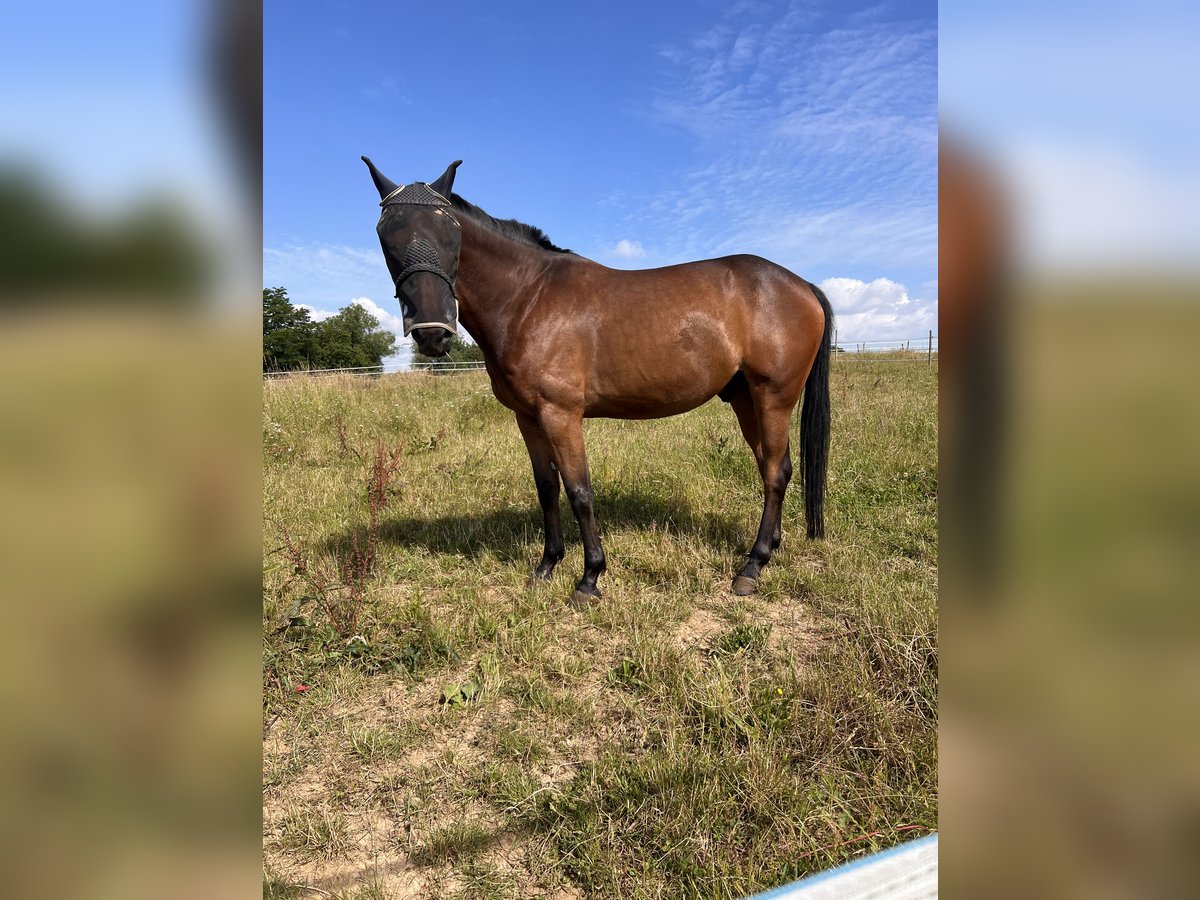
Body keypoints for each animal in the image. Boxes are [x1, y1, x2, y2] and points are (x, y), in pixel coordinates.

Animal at [362, 158, 835, 609]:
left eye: (450, 232)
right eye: (386, 236)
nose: (432, 333)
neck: (528, 297)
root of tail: (802, 285)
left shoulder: (561, 414)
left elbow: (579, 492)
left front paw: (589, 579)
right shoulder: (528, 417)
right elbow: (547, 489)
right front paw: (546, 567)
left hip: (773, 396)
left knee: (775, 472)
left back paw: (752, 567)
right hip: (744, 398)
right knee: (772, 465)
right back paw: (768, 548)